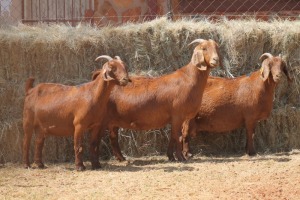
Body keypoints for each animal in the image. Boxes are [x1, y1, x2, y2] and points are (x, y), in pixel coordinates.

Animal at [92, 38, 221, 161]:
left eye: (216, 47)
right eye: (204, 48)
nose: (216, 60)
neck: (188, 78)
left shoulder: (175, 118)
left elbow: (173, 137)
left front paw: (171, 156)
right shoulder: (178, 115)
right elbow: (177, 137)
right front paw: (181, 157)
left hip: (113, 121)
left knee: (113, 138)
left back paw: (121, 158)